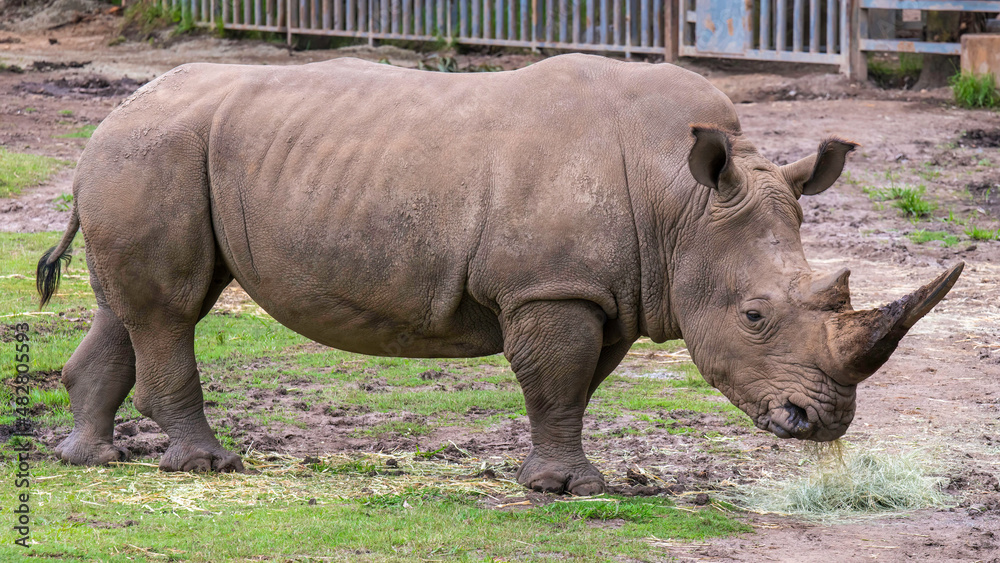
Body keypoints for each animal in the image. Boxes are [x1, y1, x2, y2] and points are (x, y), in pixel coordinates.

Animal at [37, 54, 962, 495]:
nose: (823, 422)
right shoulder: (552, 285)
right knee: (169, 308)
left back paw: (90, 459)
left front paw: (561, 478)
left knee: (133, 307)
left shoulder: (607, 289)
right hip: (153, 150)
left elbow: (577, 387)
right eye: (756, 316)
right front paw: (566, 489)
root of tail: (109, 116)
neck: (683, 202)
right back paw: (207, 467)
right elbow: (555, 382)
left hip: (151, 152)